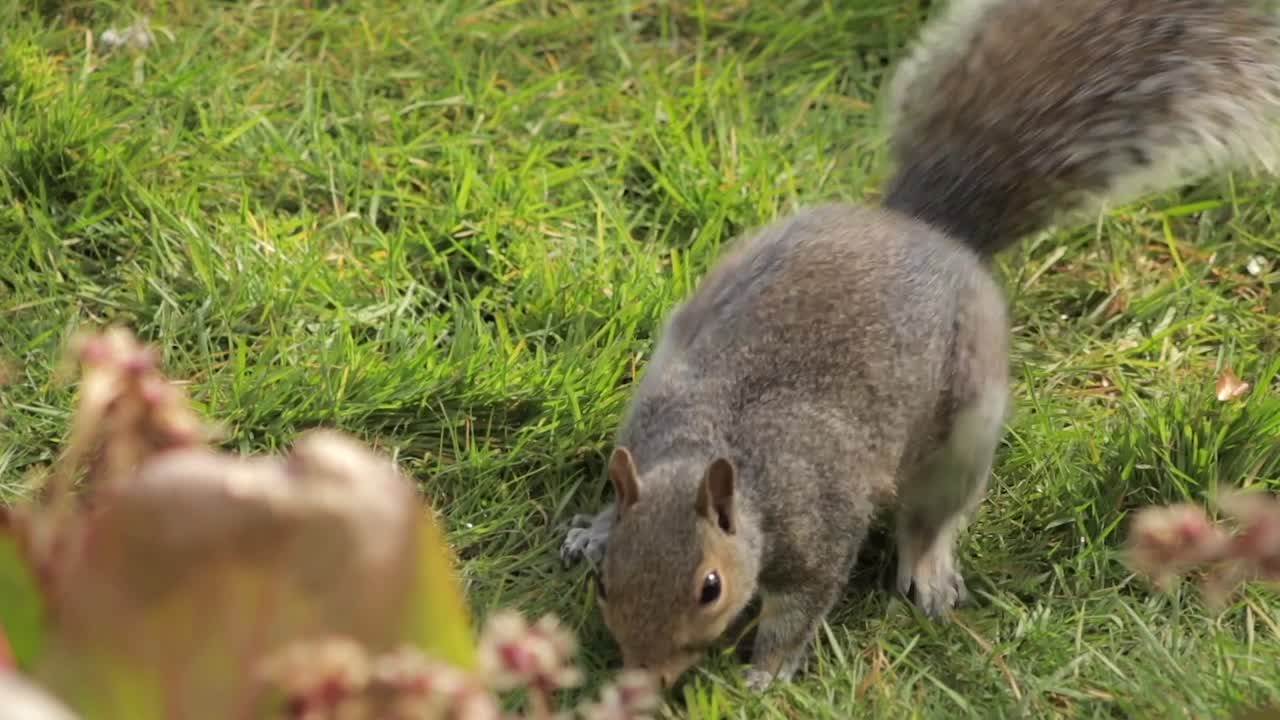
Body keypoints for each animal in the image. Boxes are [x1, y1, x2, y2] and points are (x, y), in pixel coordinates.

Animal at [560, 0, 1280, 691]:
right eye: (606, 585)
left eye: (709, 588)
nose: (644, 675)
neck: (722, 455)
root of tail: (929, 230)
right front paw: (595, 531)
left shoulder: (821, 527)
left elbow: (802, 607)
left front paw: (768, 670)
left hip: (964, 429)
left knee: (931, 516)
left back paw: (929, 570)